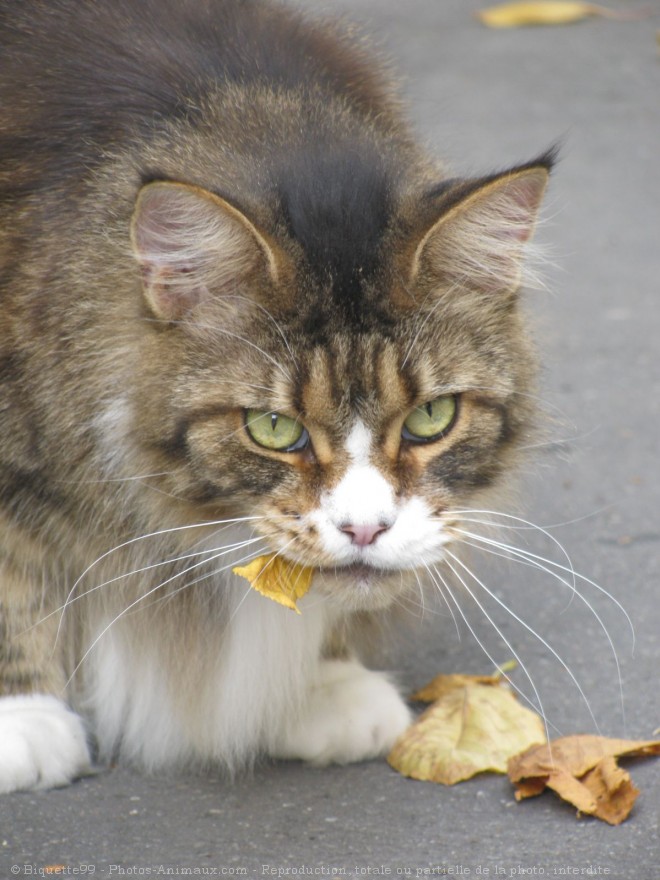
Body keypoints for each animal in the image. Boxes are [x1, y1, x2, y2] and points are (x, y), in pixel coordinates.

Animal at [0, 0, 556, 792]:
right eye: (272, 427)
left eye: (430, 417)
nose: (365, 531)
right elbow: (12, 576)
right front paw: (24, 717)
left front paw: (324, 683)